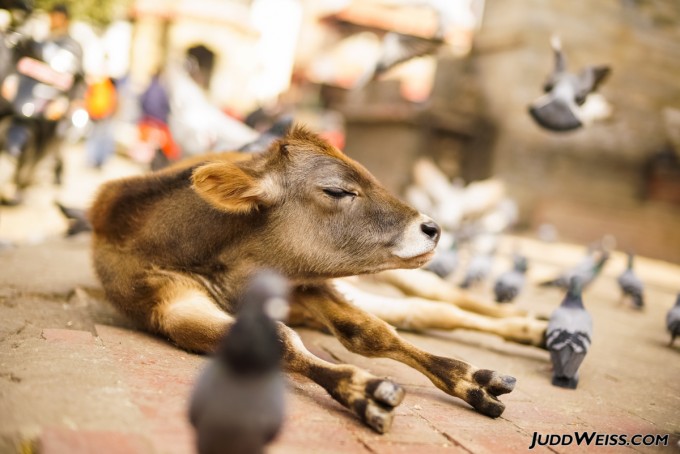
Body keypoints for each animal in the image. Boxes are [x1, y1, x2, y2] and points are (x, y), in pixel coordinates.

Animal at [89, 127, 516, 432]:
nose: (432, 228)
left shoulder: (307, 283)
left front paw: (473, 379)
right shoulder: (171, 306)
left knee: (435, 300)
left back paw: (525, 326)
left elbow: (369, 333)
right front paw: (365, 391)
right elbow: (283, 340)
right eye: (337, 190)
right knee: (422, 311)